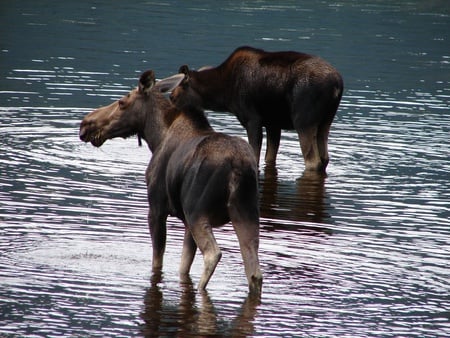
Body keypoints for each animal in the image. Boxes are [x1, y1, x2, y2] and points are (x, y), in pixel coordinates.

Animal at [80, 70, 264, 294]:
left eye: (122, 102)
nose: (86, 124)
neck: (155, 136)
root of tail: (238, 166)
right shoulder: (185, 221)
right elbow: (184, 266)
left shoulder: (157, 209)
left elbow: (158, 260)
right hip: (247, 213)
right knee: (254, 271)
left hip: (198, 212)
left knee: (213, 253)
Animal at [170, 45, 344, 172]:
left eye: (173, 96)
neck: (224, 95)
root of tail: (337, 85)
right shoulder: (273, 124)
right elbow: (269, 157)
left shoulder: (252, 119)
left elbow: (255, 155)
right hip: (326, 121)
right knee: (325, 157)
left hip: (303, 120)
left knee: (313, 161)